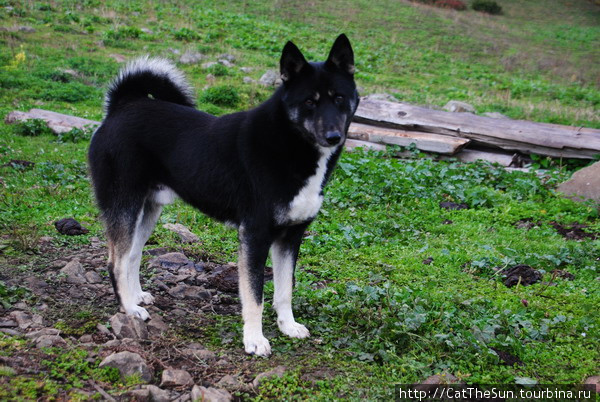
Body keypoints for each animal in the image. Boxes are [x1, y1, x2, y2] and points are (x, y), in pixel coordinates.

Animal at [88, 33, 358, 354]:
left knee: (132, 255)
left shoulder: (290, 237)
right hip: (125, 206)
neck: (290, 143)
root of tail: (122, 106)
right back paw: (129, 308)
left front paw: (288, 326)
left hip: (148, 210)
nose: (333, 136)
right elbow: (255, 295)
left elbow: (284, 291)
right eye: (309, 102)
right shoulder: (255, 236)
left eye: (339, 98)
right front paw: (254, 340)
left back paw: (137, 296)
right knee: (116, 261)